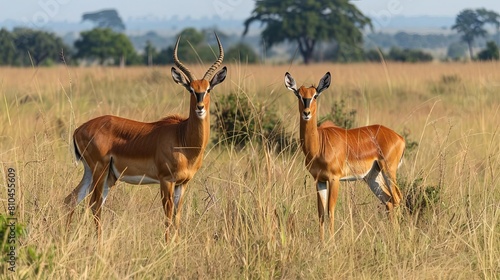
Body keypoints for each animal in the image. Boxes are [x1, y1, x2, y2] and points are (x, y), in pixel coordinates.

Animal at [64, 34, 227, 242]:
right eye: (191, 89)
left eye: (208, 89)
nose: (200, 108)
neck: (183, 139)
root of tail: (78, 129)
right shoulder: (166, 181)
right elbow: (168, 216)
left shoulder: (182, 184)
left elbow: (177, 217)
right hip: (100, 171)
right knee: (94, 205)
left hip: (94, 173)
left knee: (71, 199)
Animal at [284, 72, 404, 241]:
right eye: (299, 95)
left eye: (315, 95)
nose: (306, 113)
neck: (319, 144)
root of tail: (399, 137)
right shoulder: (319, 180)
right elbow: (320, 212)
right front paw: (322, 242)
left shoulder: (334, 179)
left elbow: (330, 210)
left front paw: (332, 242)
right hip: (373, 177)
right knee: (388, 200)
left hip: (389, 171)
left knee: (397, 198)